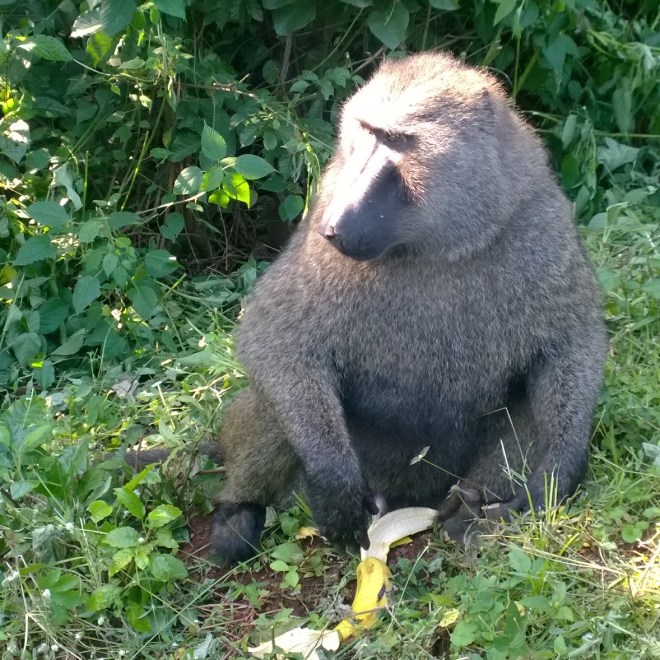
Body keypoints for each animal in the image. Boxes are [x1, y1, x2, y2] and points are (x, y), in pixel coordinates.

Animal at [200, 52, 608, 563]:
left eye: (398, 141)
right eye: (367, 132)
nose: (336, 226)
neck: (437, 244)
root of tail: (400, 495)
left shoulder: (542, 224)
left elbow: (572, 346)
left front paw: (553, 479)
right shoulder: (320, 238)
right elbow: (275, 339)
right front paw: (334, 486)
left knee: (530, 405)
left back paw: (470, 512)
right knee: (276, 398)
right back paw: (238, 513)